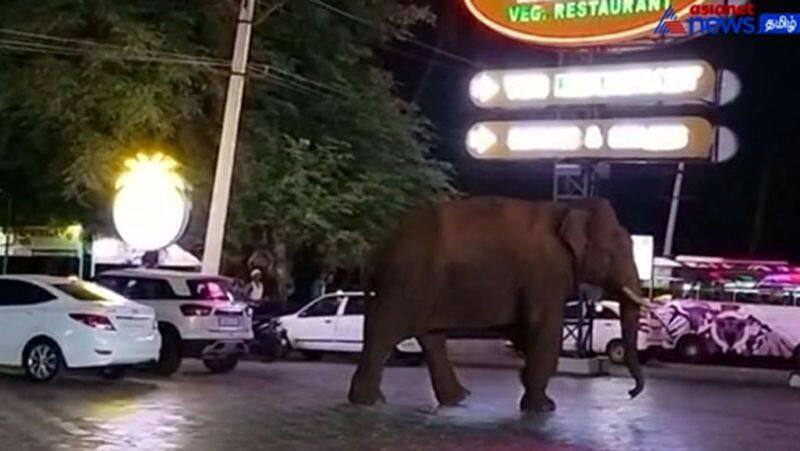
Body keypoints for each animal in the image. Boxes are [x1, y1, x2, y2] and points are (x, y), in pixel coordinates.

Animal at [346, 196, 652, 412]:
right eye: (616, 251)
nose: (630, 393)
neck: (570, 207)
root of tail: (378, 249)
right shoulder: (547, 272)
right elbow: (543, 329)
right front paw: (544, 407)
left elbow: (524, 332)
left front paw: (529, 388)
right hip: (405, 281)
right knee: (385, 332)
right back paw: (369, 402)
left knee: (430, 337)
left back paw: (457, 399)